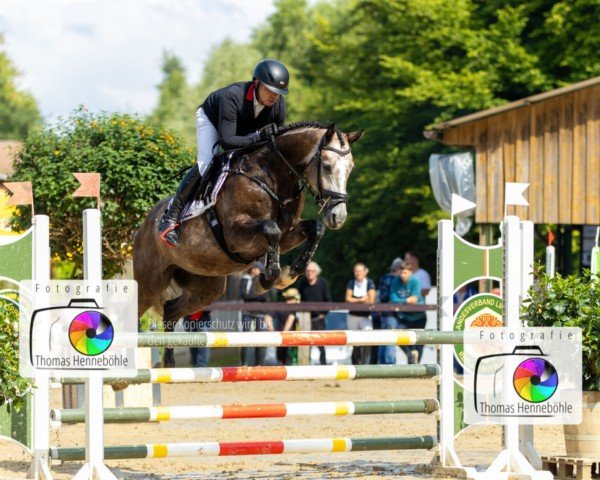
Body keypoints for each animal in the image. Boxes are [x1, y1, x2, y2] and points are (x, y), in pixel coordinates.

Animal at [134, 122, 364, 366]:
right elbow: (271, 229)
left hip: (206, 286)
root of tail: (143, 226)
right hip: (150, 283)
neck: (272, 177)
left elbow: (315, 228)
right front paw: (269, 278)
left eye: (350, 168)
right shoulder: (236, 235)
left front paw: (290, 273)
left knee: (170, 310)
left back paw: (168, 362)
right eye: (327, 166)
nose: (338, 216)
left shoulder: (288, 235)